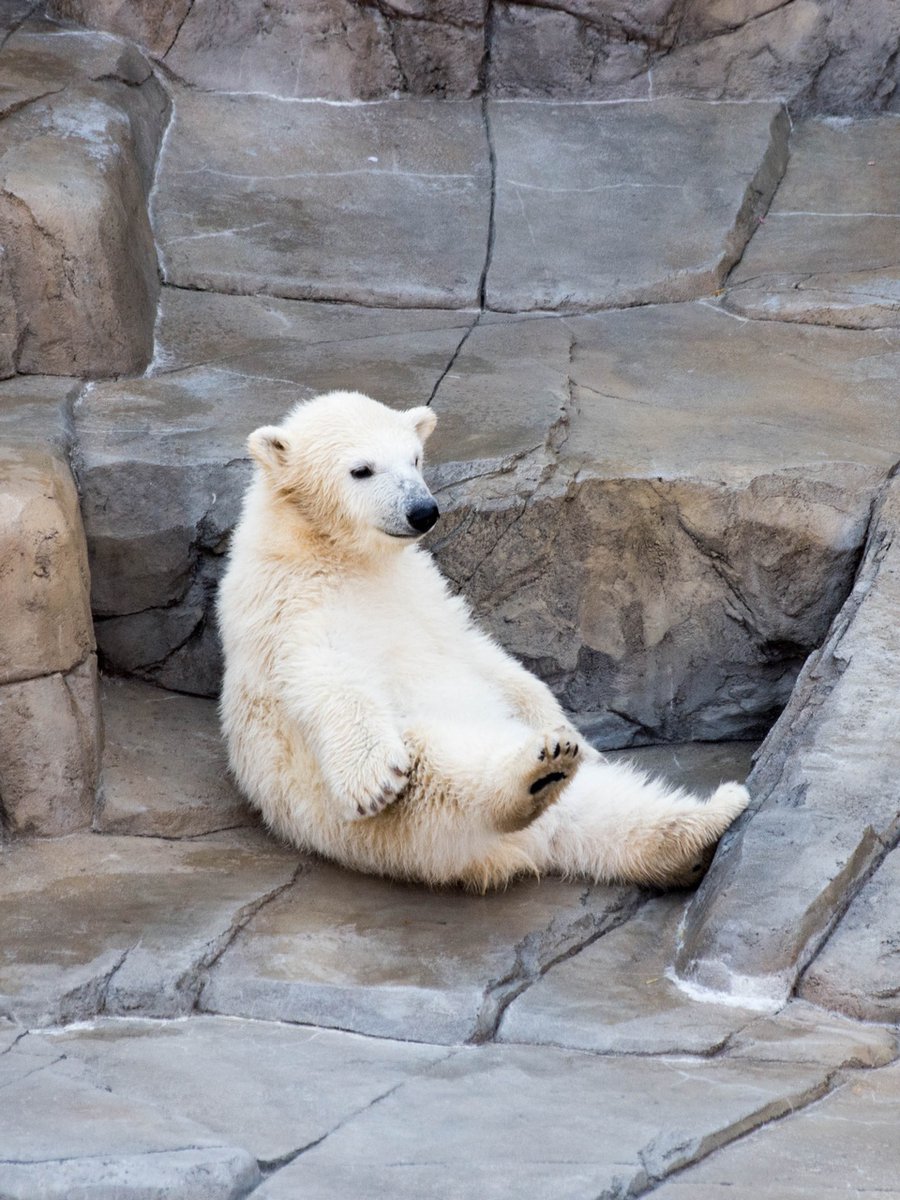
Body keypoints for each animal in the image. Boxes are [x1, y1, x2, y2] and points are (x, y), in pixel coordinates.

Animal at [217, 393, 748, 892]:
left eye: (415, 458)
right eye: (361, 469)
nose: (423, 512)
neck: (336, 552)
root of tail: (533, 843)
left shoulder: (423, 591)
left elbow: (476, 650)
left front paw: (562, 723)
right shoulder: (289, 604)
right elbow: (323, 670)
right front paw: (371, 776)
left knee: (611, 806)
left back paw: (701, 821)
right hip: (399, 823)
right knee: (440, 773)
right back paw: (536, 773)